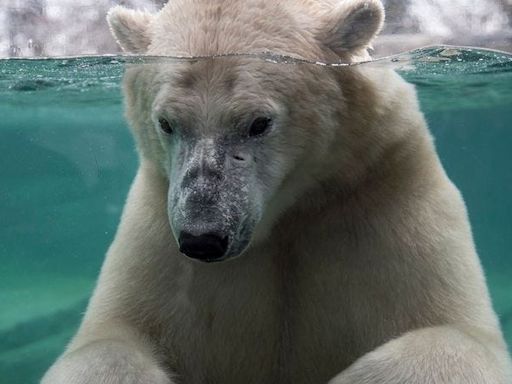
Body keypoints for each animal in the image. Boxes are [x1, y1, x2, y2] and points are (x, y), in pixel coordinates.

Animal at [43, 0, 512, 384]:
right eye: (167, 122)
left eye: (258, 123)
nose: (203, 238)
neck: (285, 214)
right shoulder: (159, 228)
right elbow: (110, 340)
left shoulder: (385, 194)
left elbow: (454, 335)